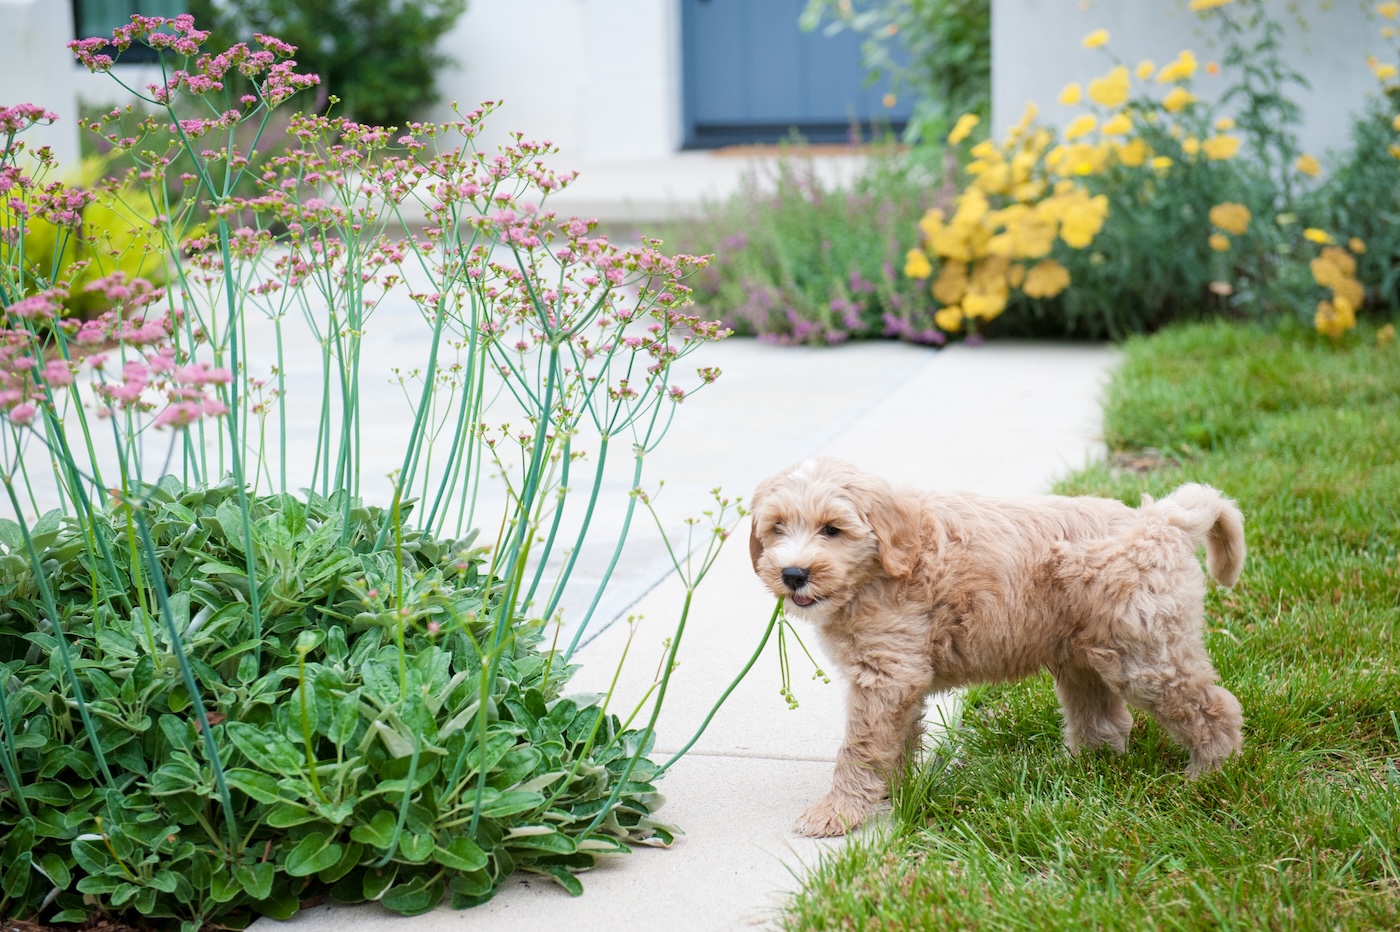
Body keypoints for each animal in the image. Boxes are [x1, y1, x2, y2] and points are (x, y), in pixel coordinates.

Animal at [750, 456, 1243, 834]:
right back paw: (1085, 771)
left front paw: (837, 812)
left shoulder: (887, 673)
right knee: (1103, 717)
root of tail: (1162, 520)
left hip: (1146, 656)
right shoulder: (898, 678)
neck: (880, 569)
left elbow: (860, 747)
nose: (793, 574)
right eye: (776, 527)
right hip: (1086, 654)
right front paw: (891, 791)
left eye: (832, 530)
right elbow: (895, 739)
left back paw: (1210, 776)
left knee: (1212, 705)